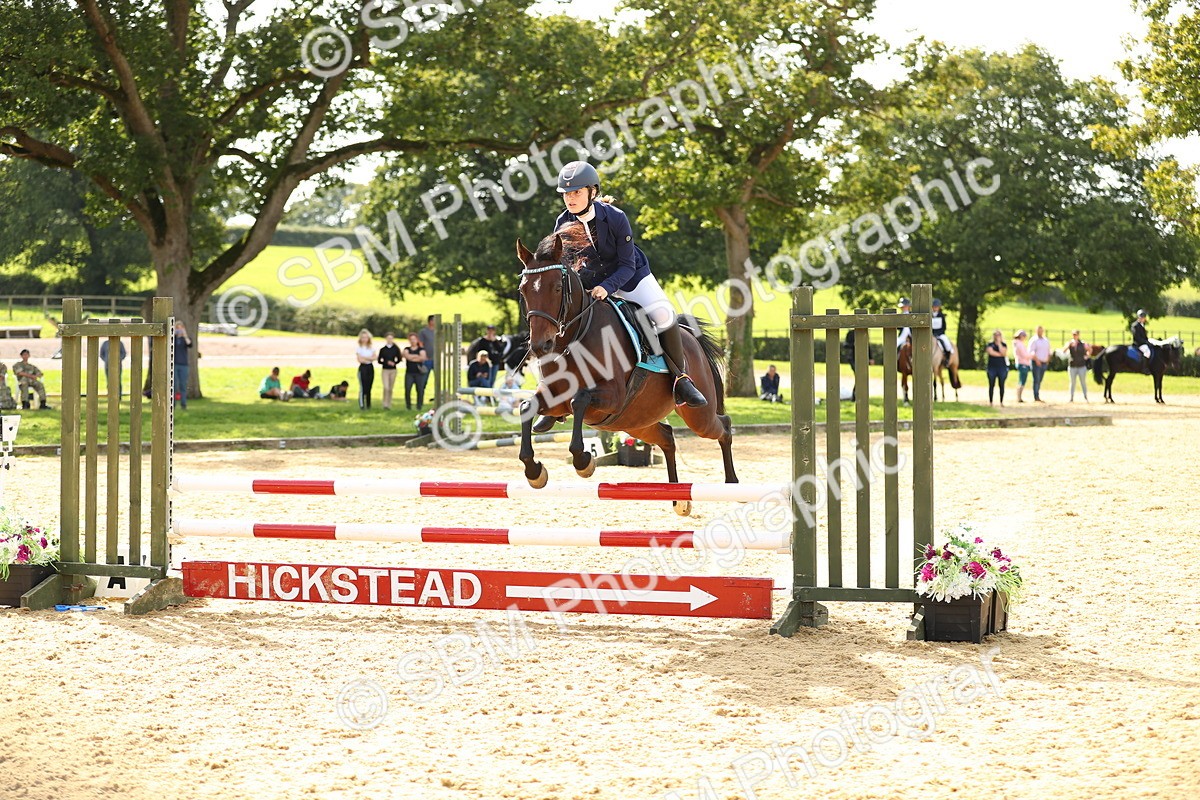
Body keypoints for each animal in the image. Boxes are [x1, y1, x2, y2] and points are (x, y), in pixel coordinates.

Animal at [514, 229, 736, 515]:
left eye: (556, 288)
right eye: (523, 289)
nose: (541, 346)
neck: (575, 337)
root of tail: (691, 338)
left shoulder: (613, 397)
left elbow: (580, 399)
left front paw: (583, 460)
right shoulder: (556, 399)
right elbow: (526, 407)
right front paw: (534, 471)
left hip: (697, 416)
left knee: (723, 427)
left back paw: (732, 484)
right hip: (637, 421)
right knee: (667, 437)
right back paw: (679, 499)